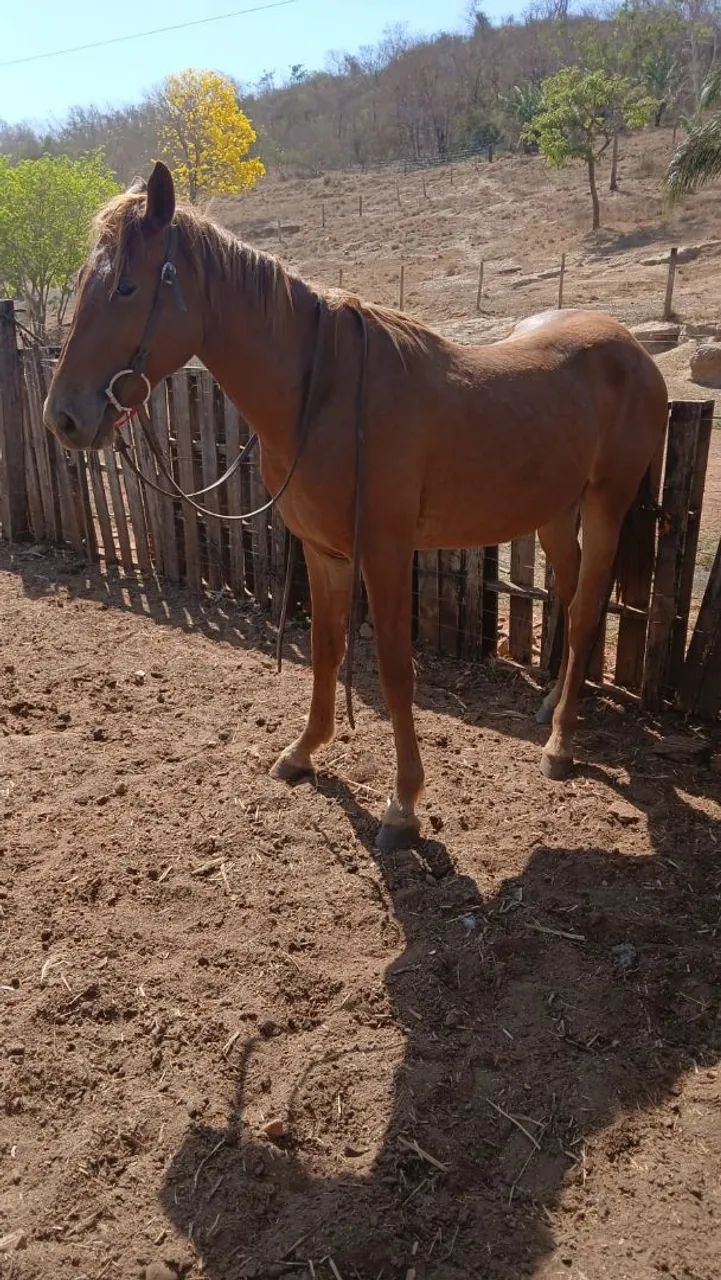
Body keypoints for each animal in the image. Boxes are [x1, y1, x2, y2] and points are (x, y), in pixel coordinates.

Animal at [44, 161, 668, 851]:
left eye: (126, 287)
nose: (63, 417)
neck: (323, 396)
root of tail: (631, 347)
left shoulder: (386, 552)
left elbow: (395, 671)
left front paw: (404, 804)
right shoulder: (325, 553)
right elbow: (326, 649)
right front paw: (303, 751)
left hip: (606, 503)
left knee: (585, 608)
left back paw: (560, 742)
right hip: (555, 510)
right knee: (570, 588)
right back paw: (552, 702)